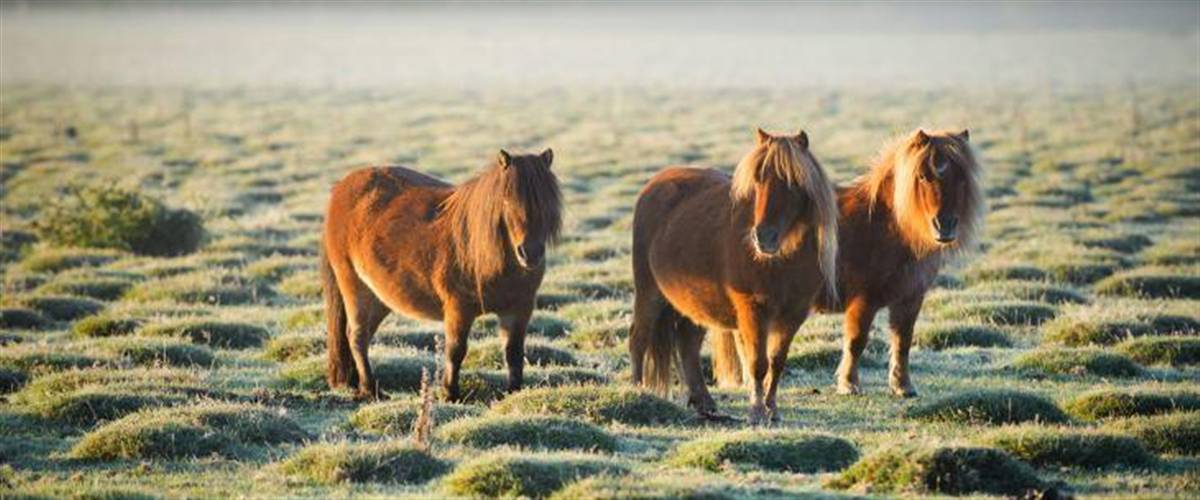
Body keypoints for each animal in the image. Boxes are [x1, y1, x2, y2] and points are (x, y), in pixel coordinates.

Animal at [321, 148, 561, 401]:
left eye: (547, 201)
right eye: (506, 200)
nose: (530, 253)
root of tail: (341, 188)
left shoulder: (518, 309)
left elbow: (513, 353)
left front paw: (513, 393)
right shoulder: (458, 308)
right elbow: (456, 351)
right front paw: (450, 394)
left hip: (379, 298)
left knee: (364, 336)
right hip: (355, 287)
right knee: (356, 336)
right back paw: (371, 389)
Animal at [629, 128, 839, 424]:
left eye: (792, 181)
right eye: (758, 179)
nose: (763, 237)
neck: (782, 262)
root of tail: (656, 183)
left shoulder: (793, 315)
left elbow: (777, 361)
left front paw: (772, 409)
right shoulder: (752, 310)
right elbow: (757, 363)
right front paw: (757, 412)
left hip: (696, 303)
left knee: (687, 345)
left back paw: (704, 402)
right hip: (649, 292)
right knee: (639, 338)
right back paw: (638, 391)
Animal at [711, 129, 984, 397]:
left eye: (961, 178)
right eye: (923, 176)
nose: (945, 225)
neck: (887, 226)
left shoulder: (910, 299)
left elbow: (903, 341)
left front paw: (903, 386)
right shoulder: (863, 299)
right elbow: (856, 341)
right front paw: (849, 384)